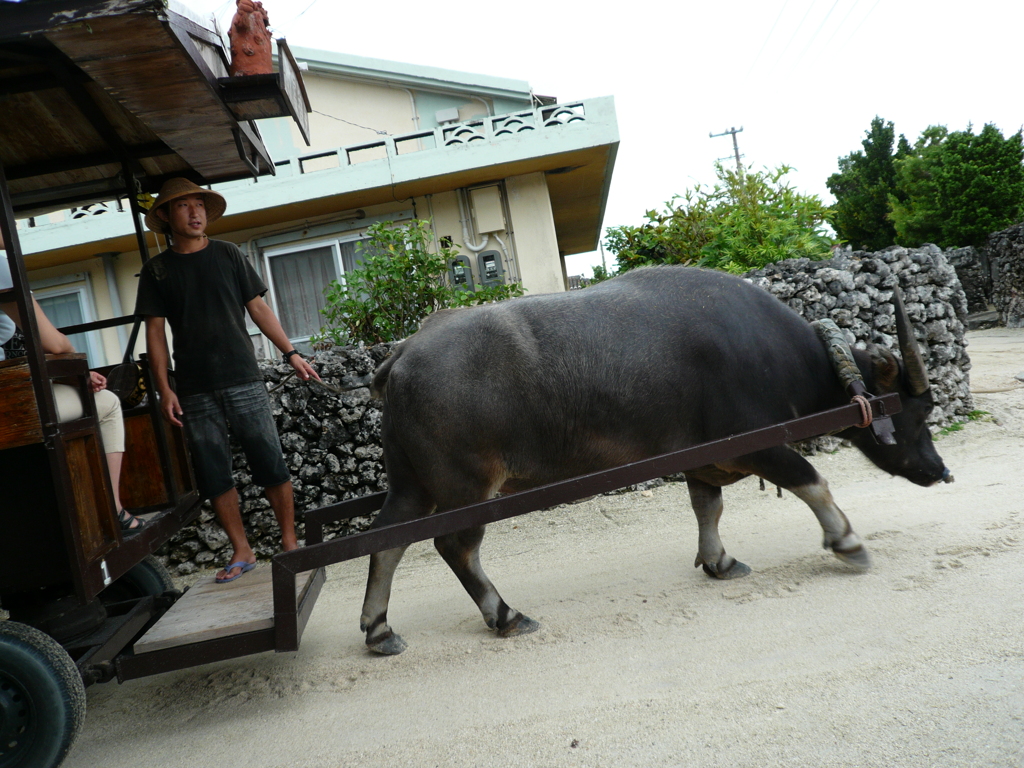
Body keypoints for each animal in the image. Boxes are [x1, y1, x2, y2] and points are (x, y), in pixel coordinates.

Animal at [360, 266, 950, 655]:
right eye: (921, 410)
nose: (939, 471)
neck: (778, 353)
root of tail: (404, 353)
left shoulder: (705, 461)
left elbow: (707, 508)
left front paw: (719, 561)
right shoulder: (758, 445)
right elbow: (813, 482)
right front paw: (848, 542)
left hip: (413, 484)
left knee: (387, 539)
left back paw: (379, 628)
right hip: (468, 488)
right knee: (455, 546)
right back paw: (504, 614)